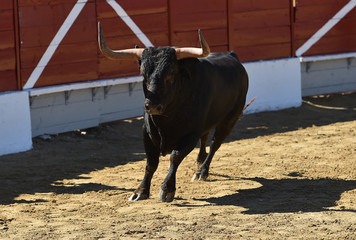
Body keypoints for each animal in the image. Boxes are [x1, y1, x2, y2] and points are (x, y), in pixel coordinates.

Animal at [97, 23, 248, 202]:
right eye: (143, 74)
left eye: (170, 73)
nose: (152, 106)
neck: (167, 119)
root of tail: (232, 55)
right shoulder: (147, 132)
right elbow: (150, 163)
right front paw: (140, 191)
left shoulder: (190, 135)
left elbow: (175, 157)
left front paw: (167, 189)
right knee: (205, 138)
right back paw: (199, 161)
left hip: (230, 118)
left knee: (215, 144)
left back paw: (202, 171)